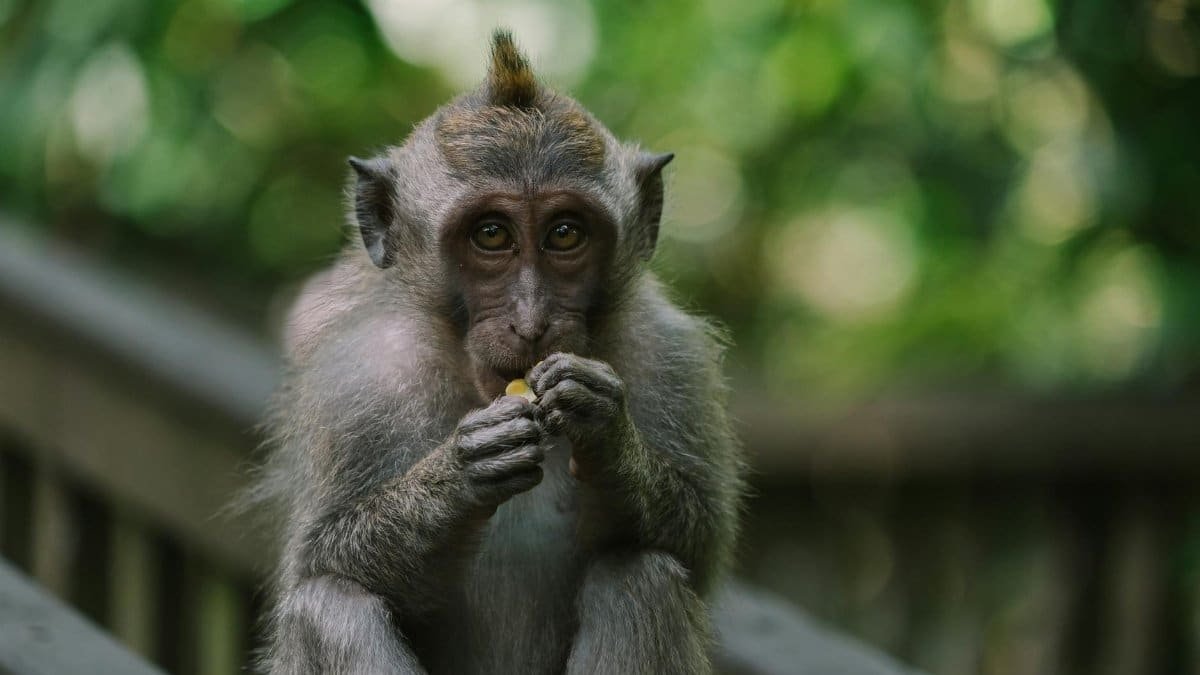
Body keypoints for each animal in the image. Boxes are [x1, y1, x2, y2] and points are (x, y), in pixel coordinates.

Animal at [251, 30, 745, 674]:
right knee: (327, 603)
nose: (531, 322)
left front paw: (609, 435)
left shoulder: (672, 356)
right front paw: (461, 472)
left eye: (565, 233)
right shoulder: (355, 378)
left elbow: (698, 545)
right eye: (491, 234)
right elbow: (317, 559)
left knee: (642, 579)